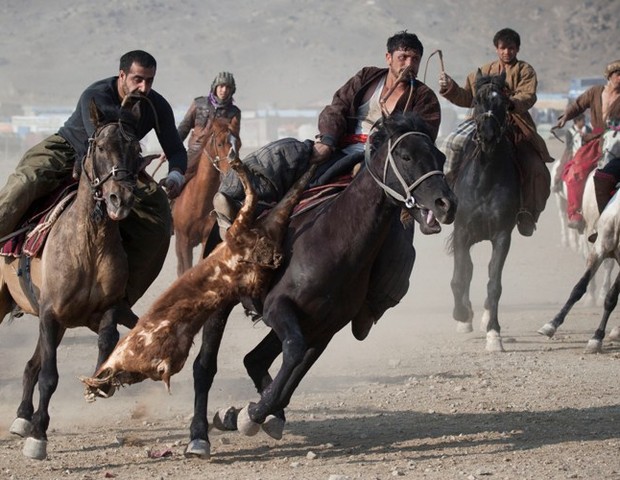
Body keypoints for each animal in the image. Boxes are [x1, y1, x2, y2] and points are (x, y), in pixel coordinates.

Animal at [0, 95, 146, 460]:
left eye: (136, 149)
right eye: (101, 147)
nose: (120, 198)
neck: (88, 246)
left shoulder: (99, 311)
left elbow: (108, 339)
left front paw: (100, 383)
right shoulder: (51, 314)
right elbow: (50, 377)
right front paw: (38, 436)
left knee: (30, 365)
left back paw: (22, 417)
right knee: (37, 367)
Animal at [172, 116, 240, 276]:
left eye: (239, 144)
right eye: (220, 143)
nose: (233, 173)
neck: (197, 204)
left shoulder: (206, 239)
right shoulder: (183, 241)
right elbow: (185, 269)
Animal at [448, 70, 520, 352]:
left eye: (504, 103)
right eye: (476, 101)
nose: (488, 135)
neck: (485, 179)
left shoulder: (501, 236)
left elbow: (494, 283)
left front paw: (494, 334)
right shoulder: (461, 232)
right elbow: (459, 277)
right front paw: (461, 314)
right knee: (466, 270)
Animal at [536, 122, 620, 350]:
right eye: (604, 140)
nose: (605, 159)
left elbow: (611, 297)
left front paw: (597, 337)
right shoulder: (599, 245)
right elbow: (578, 287)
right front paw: (551, 324)